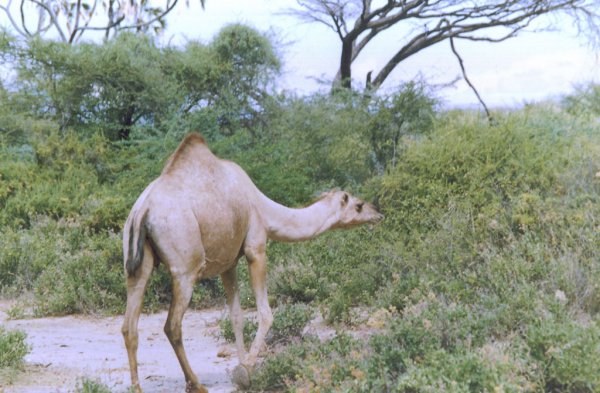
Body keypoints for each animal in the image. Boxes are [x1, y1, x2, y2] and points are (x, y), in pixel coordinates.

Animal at [122, 132, 384, 392]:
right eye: (359, 205)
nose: (378, 214)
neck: (265, 210)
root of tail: (143, 210)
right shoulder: (255, 247)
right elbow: (265, 313)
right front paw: (246, 369)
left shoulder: (228, 263)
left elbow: (236, 316)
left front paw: (240, 364)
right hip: (185, 266)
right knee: (172, 325)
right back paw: (196, 384)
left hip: (137, 265)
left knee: (129, 325)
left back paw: (137, 386)